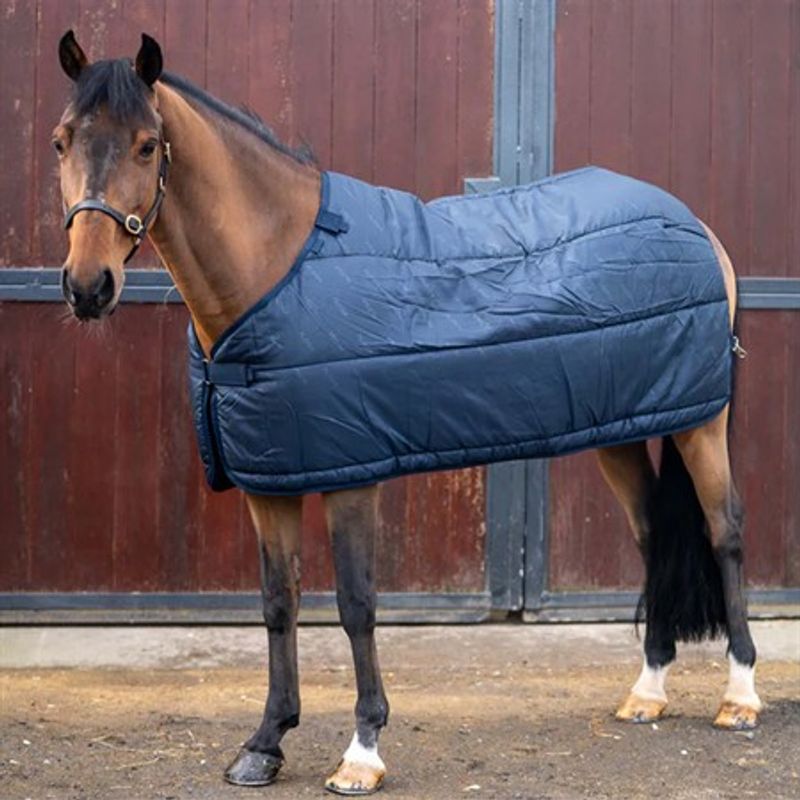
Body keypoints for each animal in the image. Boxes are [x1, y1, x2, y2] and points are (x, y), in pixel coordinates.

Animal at [52, 31, 761, 795]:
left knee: (724, 531)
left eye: (147, 145)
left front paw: (362, 752)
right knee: (653, 538)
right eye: (62, 141)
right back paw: (647, 692)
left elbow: (357, 605)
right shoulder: (270, 481)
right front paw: (266, 742)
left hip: (699, 424)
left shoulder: (352, 475)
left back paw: (740, 696)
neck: (281, 269)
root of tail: (694, 224)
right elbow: (278, 601)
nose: (88, 286)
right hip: (623, 432)